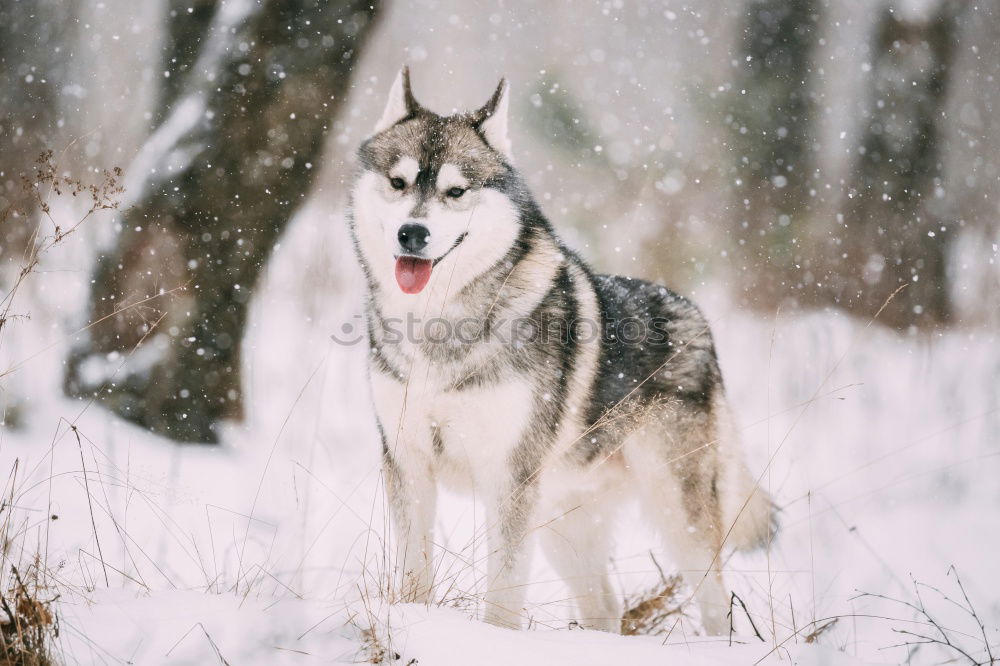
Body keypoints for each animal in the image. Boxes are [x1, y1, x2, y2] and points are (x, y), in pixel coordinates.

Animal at [348, 67, 776, 632]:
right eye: (397, 183)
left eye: (456, 191)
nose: (412, 233)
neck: (439, 328)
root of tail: (697, 317)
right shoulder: (408, 466)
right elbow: (415, 578)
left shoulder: (508, 481)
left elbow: (503, 598)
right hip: (562, 525)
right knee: (606, 606)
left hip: (676, 518)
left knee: (716, 603)